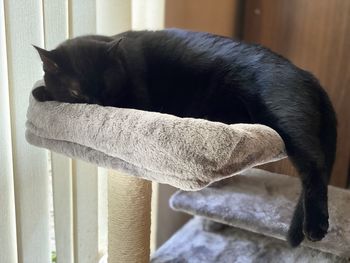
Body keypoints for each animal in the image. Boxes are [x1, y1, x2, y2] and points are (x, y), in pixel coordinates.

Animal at [32, 29, 336, 250]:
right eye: (76, 92)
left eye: (106, 85)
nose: (96, 104)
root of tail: (307, 74)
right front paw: (42, 91)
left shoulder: (137, 101)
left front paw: (42, 92)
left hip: (287, 120)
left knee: (315, 167)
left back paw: (316, 227)